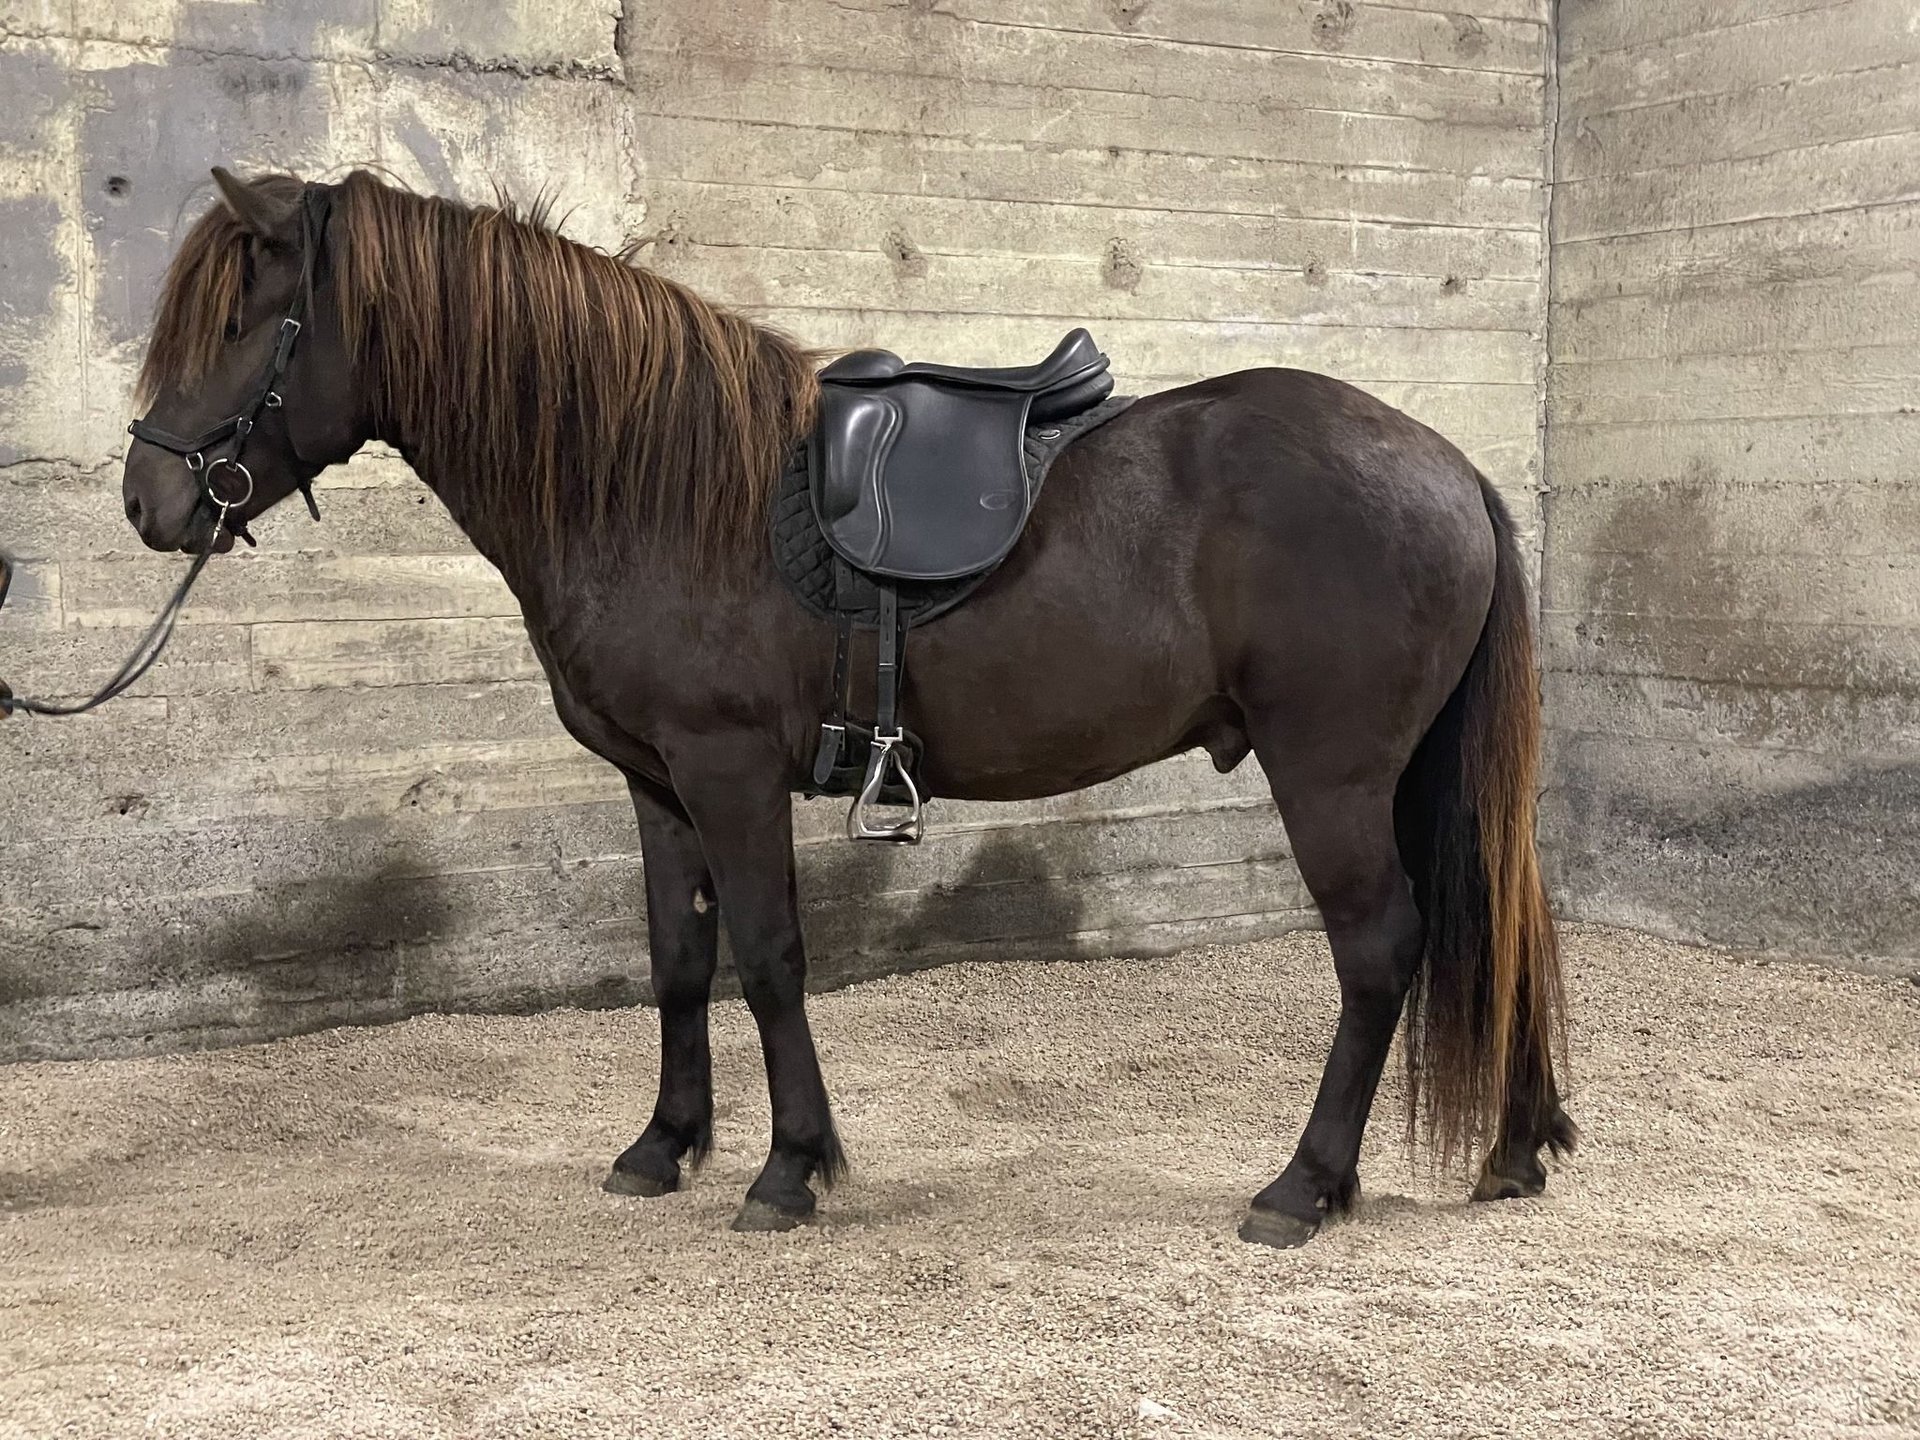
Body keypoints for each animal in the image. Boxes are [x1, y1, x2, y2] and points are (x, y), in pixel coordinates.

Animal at [116, 168, 1574, 1244]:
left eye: (241, 324)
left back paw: (1303, 1187)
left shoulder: (727, 773)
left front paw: (789, 1168)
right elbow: (681, 958)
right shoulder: (657, 783)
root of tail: (1447, 465)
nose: (150, 501)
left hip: (1330, 774)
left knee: (1381, 947)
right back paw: (1515, 1149)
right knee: (1494, 914)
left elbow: (769, 957)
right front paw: (664, 1145)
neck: (650, 480)